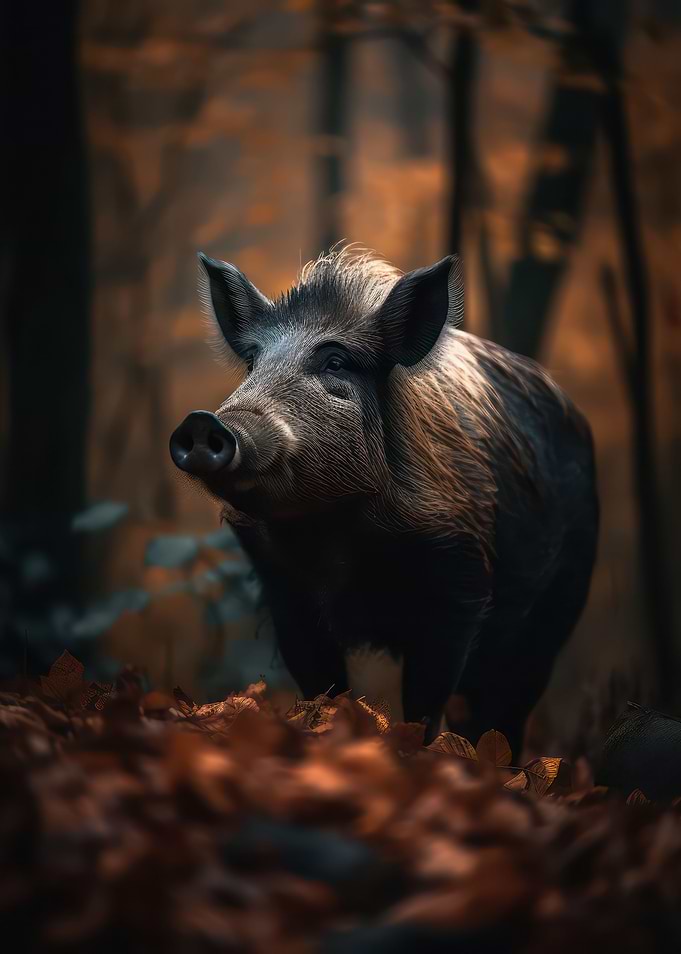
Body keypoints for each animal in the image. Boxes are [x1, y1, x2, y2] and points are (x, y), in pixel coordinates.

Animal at [170, 248, 599, 752]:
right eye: (253, 361)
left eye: (336, 362)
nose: (203, 421)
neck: (331, 530)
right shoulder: (283, 592)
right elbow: (321, 684)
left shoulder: (460, 579)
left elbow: (427, 700)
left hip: (561, 603)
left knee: (506, 704)